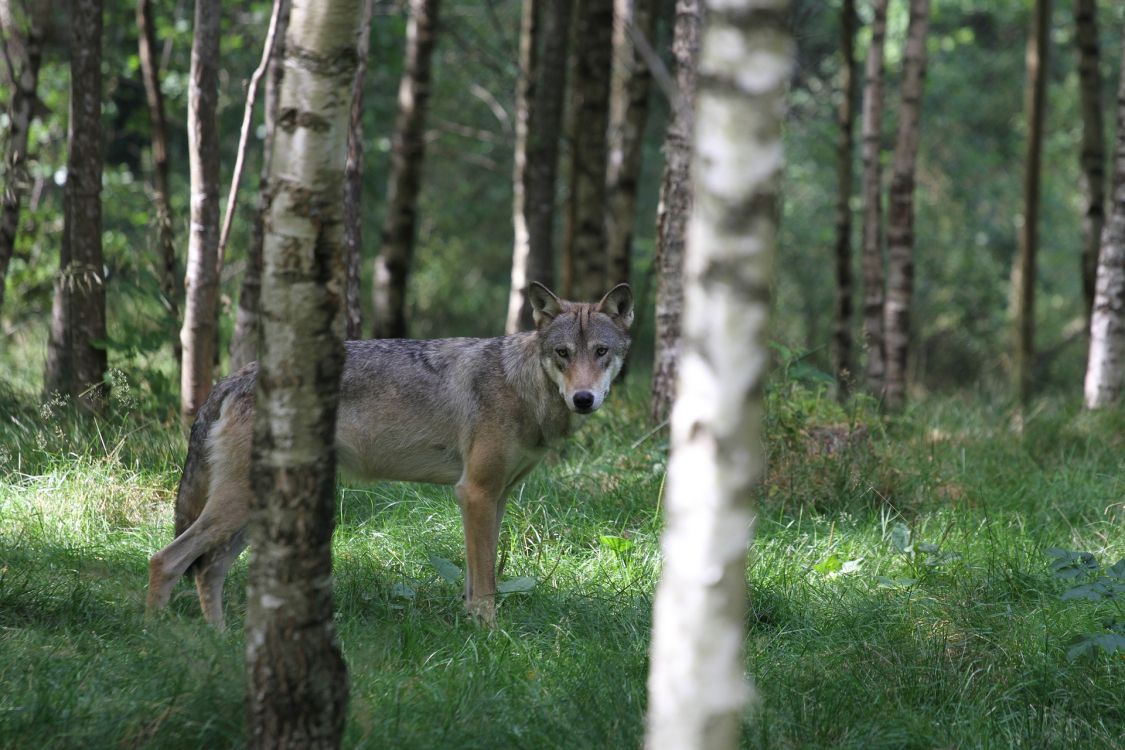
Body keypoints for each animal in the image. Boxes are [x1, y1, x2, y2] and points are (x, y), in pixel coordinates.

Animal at [146, 282, 633, 628]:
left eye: (601, 352)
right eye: (563, 353)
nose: (584, 399)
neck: (522, 387)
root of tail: (234, 377)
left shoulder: (495, 499)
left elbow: (477, 578)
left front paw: (473, 632)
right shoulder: (474, 493)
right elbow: (485, 585)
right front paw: (490, 636)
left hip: (251, 513)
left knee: (207, 572)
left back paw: (222, 644)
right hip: (236, 507)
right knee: (165, 561)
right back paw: (156, 636)